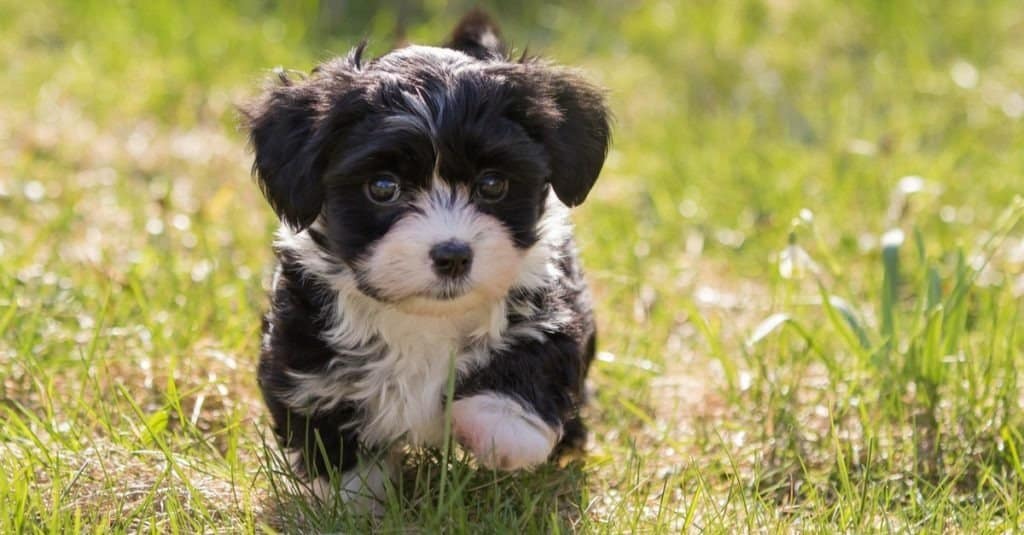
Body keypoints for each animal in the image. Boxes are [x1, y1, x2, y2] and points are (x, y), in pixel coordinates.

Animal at [241, 10, 606, 506]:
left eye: (493, 184)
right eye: (383, 187)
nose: (452, 255)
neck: (426, 317)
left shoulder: (549, 300)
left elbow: (537, 355)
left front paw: (501, 428)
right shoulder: (303, 348)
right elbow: (328, 427)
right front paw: (353, 499)